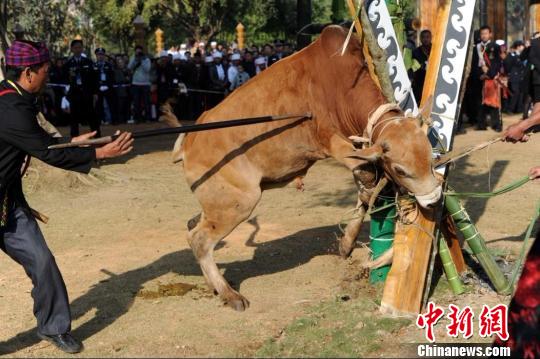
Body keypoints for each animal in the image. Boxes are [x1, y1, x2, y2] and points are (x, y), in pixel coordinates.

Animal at [175, 25, 440, 312]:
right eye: (401, 170)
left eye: (430, 158)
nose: (434, 199)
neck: (339, 84)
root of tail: (188, 142)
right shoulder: (331, 142)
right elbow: (368, 177)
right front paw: (349, 241)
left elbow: (367, 186)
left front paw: (346, 244)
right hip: (240, 202)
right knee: (200, 240)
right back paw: (230, 294)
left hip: (217, 203)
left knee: (193, 227)